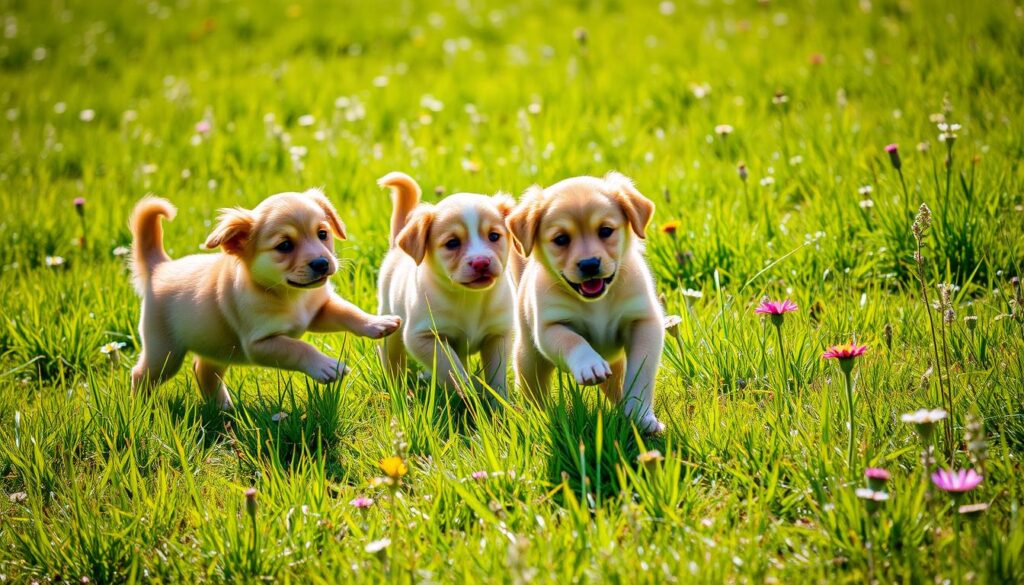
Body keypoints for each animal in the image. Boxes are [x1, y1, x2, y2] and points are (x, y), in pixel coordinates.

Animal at [128, 188, 399, 407]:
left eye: (322, 234)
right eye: (285, 246)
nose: (322, 264)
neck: (291, 296)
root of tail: (159, 268)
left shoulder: (318, 311)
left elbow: (348, 311)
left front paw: (376, 323)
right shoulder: (259, 344)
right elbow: (298, 347)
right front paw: (325, 366)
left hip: (217, 347)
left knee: (203, 370)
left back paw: (223, 409)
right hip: (164, 352)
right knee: (140, 375)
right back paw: (139, 409)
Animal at [376, 172, 516, 401]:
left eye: (494, 236)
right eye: (452, 243)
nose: (481, 262)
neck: (470, 297)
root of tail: (397, 245)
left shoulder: (498, 335)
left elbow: (497, 377)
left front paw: (497, 403)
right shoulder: (423, 337)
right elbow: (452, 370)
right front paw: (470, 395)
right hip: (391, 327)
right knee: (392, 361)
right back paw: (398, 391)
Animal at [507, 172, 667, 432]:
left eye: (605, 230)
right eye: (561, 239)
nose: (589, 264)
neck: (596, 303)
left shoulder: (644, 321)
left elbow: (640, 373)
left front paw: (641, 415)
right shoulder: (549, 327)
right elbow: (572, 340)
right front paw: (589, 364)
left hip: (616, 364)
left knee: (617, 386)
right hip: (528, 359)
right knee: (534, 392)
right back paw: (538, 418)